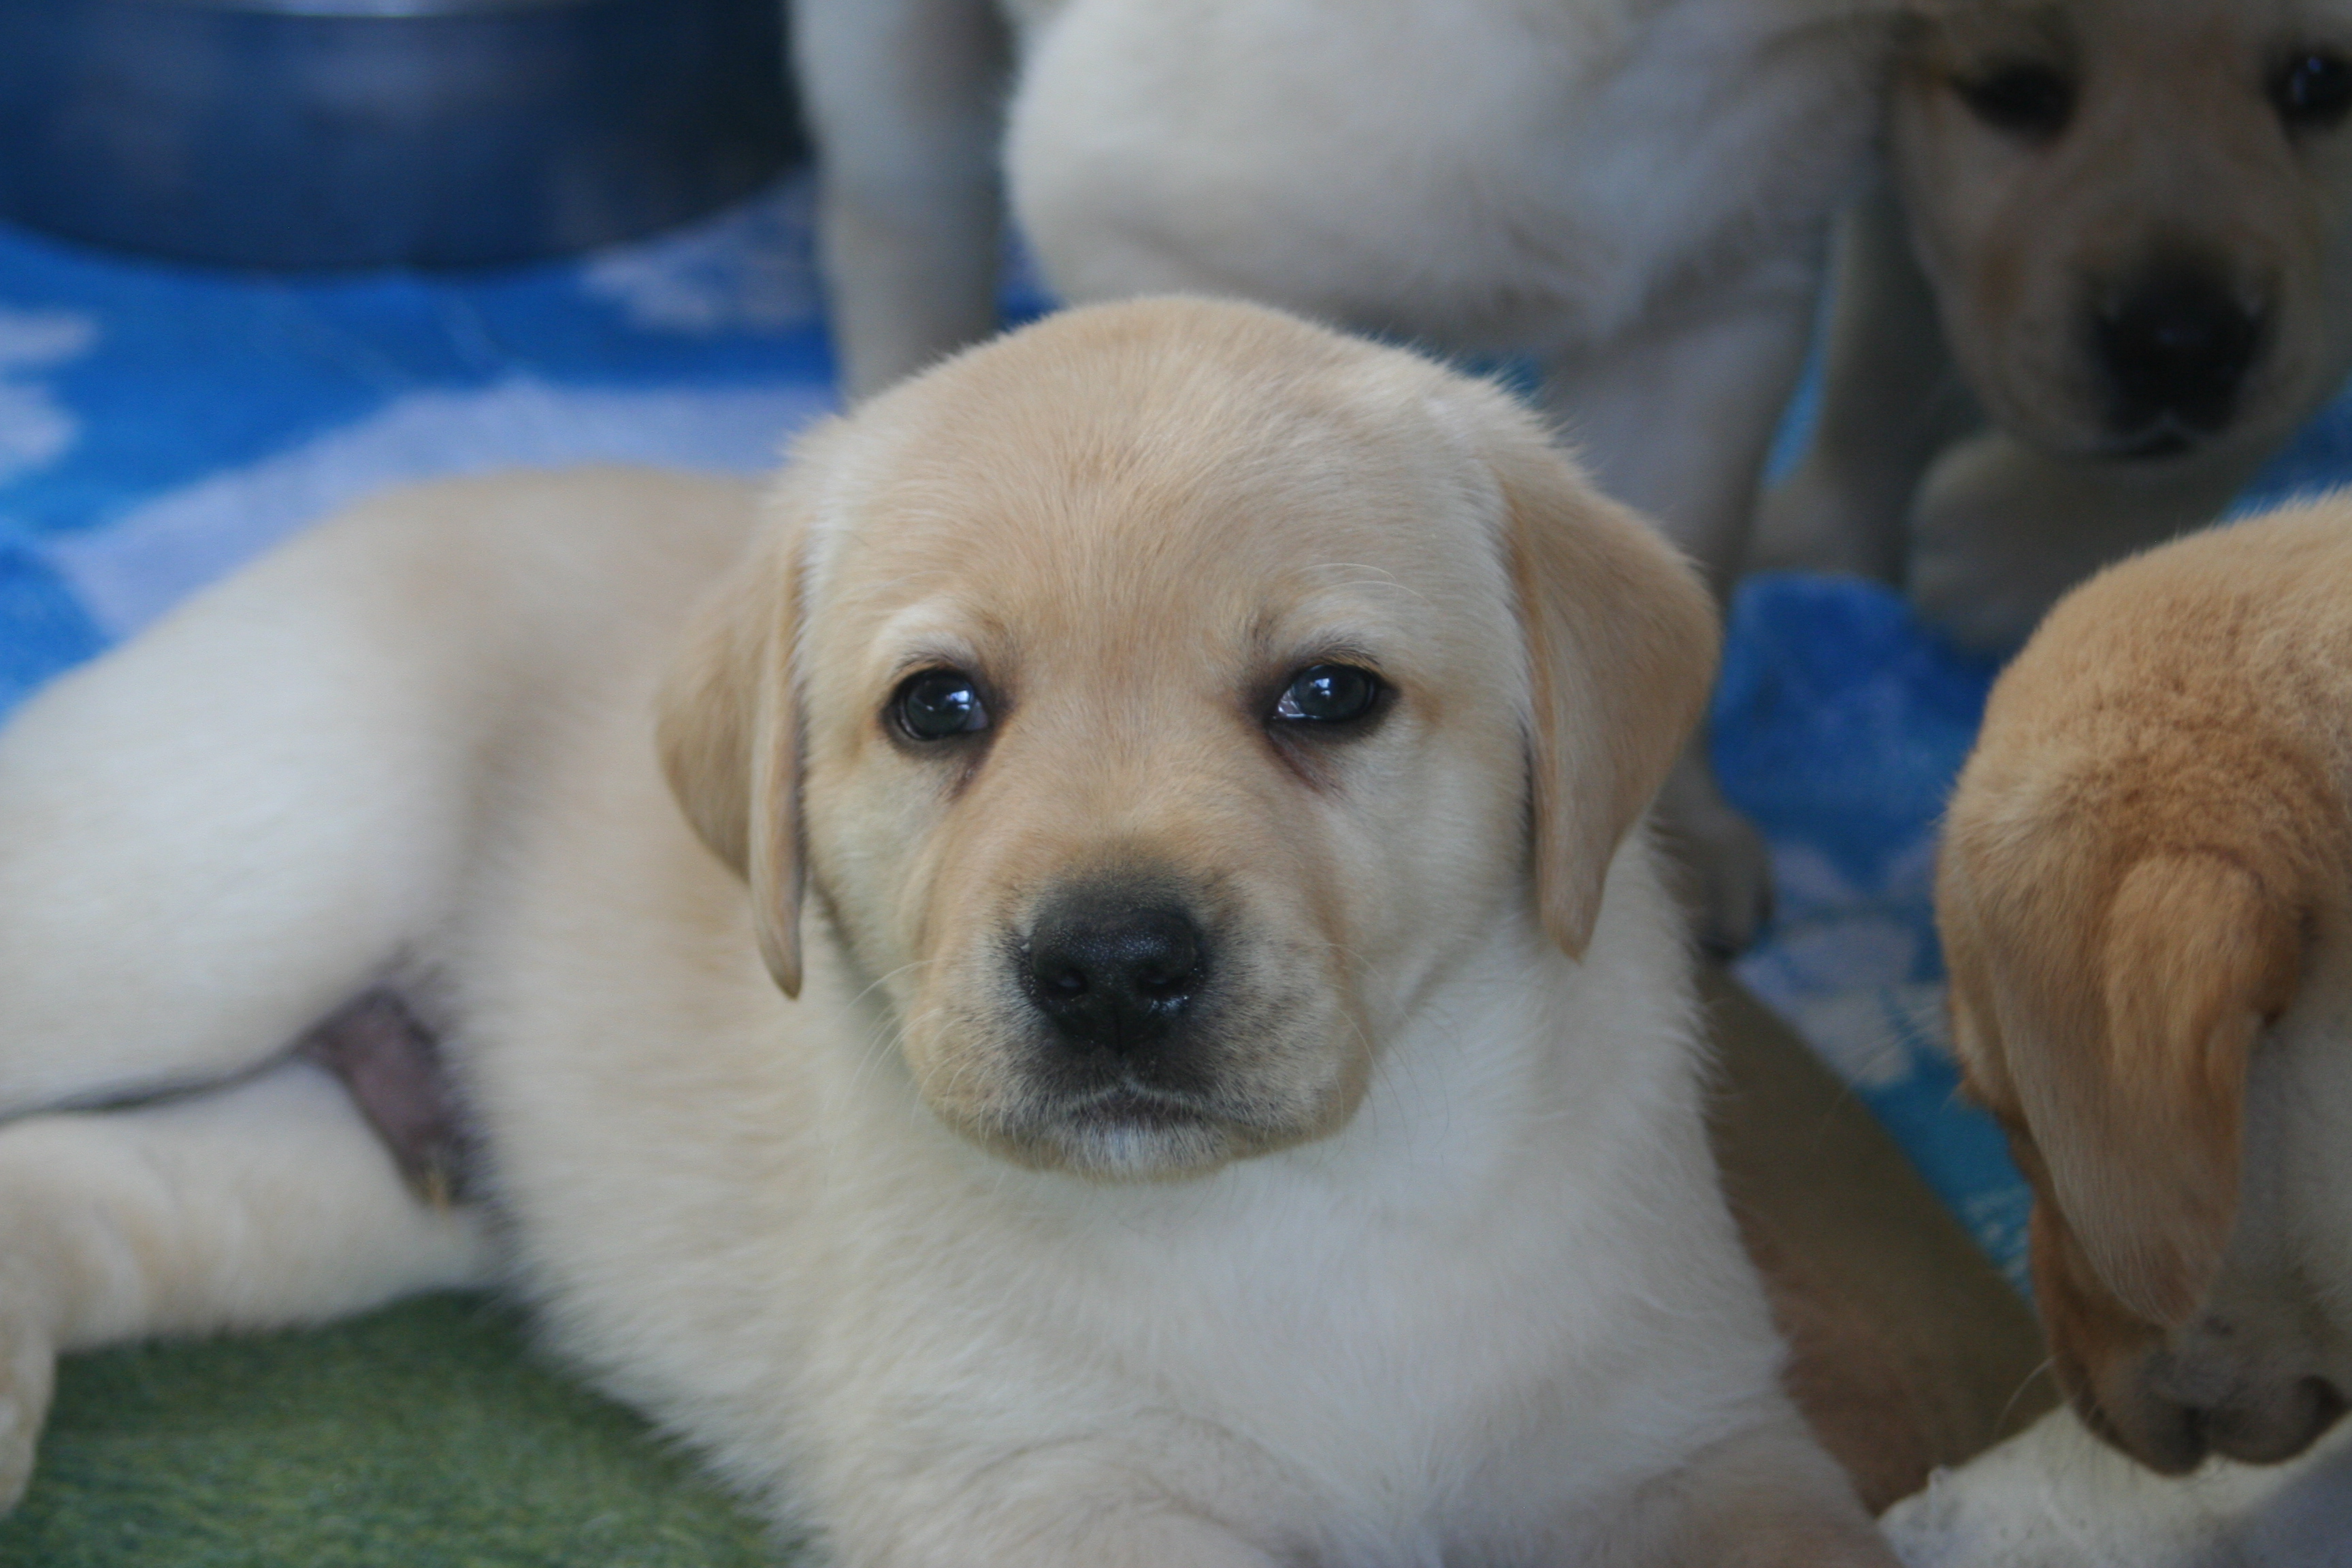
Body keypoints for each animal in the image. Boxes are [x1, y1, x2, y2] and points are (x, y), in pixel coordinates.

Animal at [0, 303, 1891, 1568]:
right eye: (939, 709)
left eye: (1329, 696)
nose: (1111, 966)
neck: (1303, 1210)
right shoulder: (1040, 1488)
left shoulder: (1689, 1438)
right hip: (228, 886)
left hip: (372, 1177)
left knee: (96, 1184)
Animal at [1759, 0, 2352, 649]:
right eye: (2015, 90)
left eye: (2320, 81)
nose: (2181, 350)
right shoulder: (1885, 210)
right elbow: (1873, 368)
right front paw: (1821, 533)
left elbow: (2178, 464)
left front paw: (2021, 544)